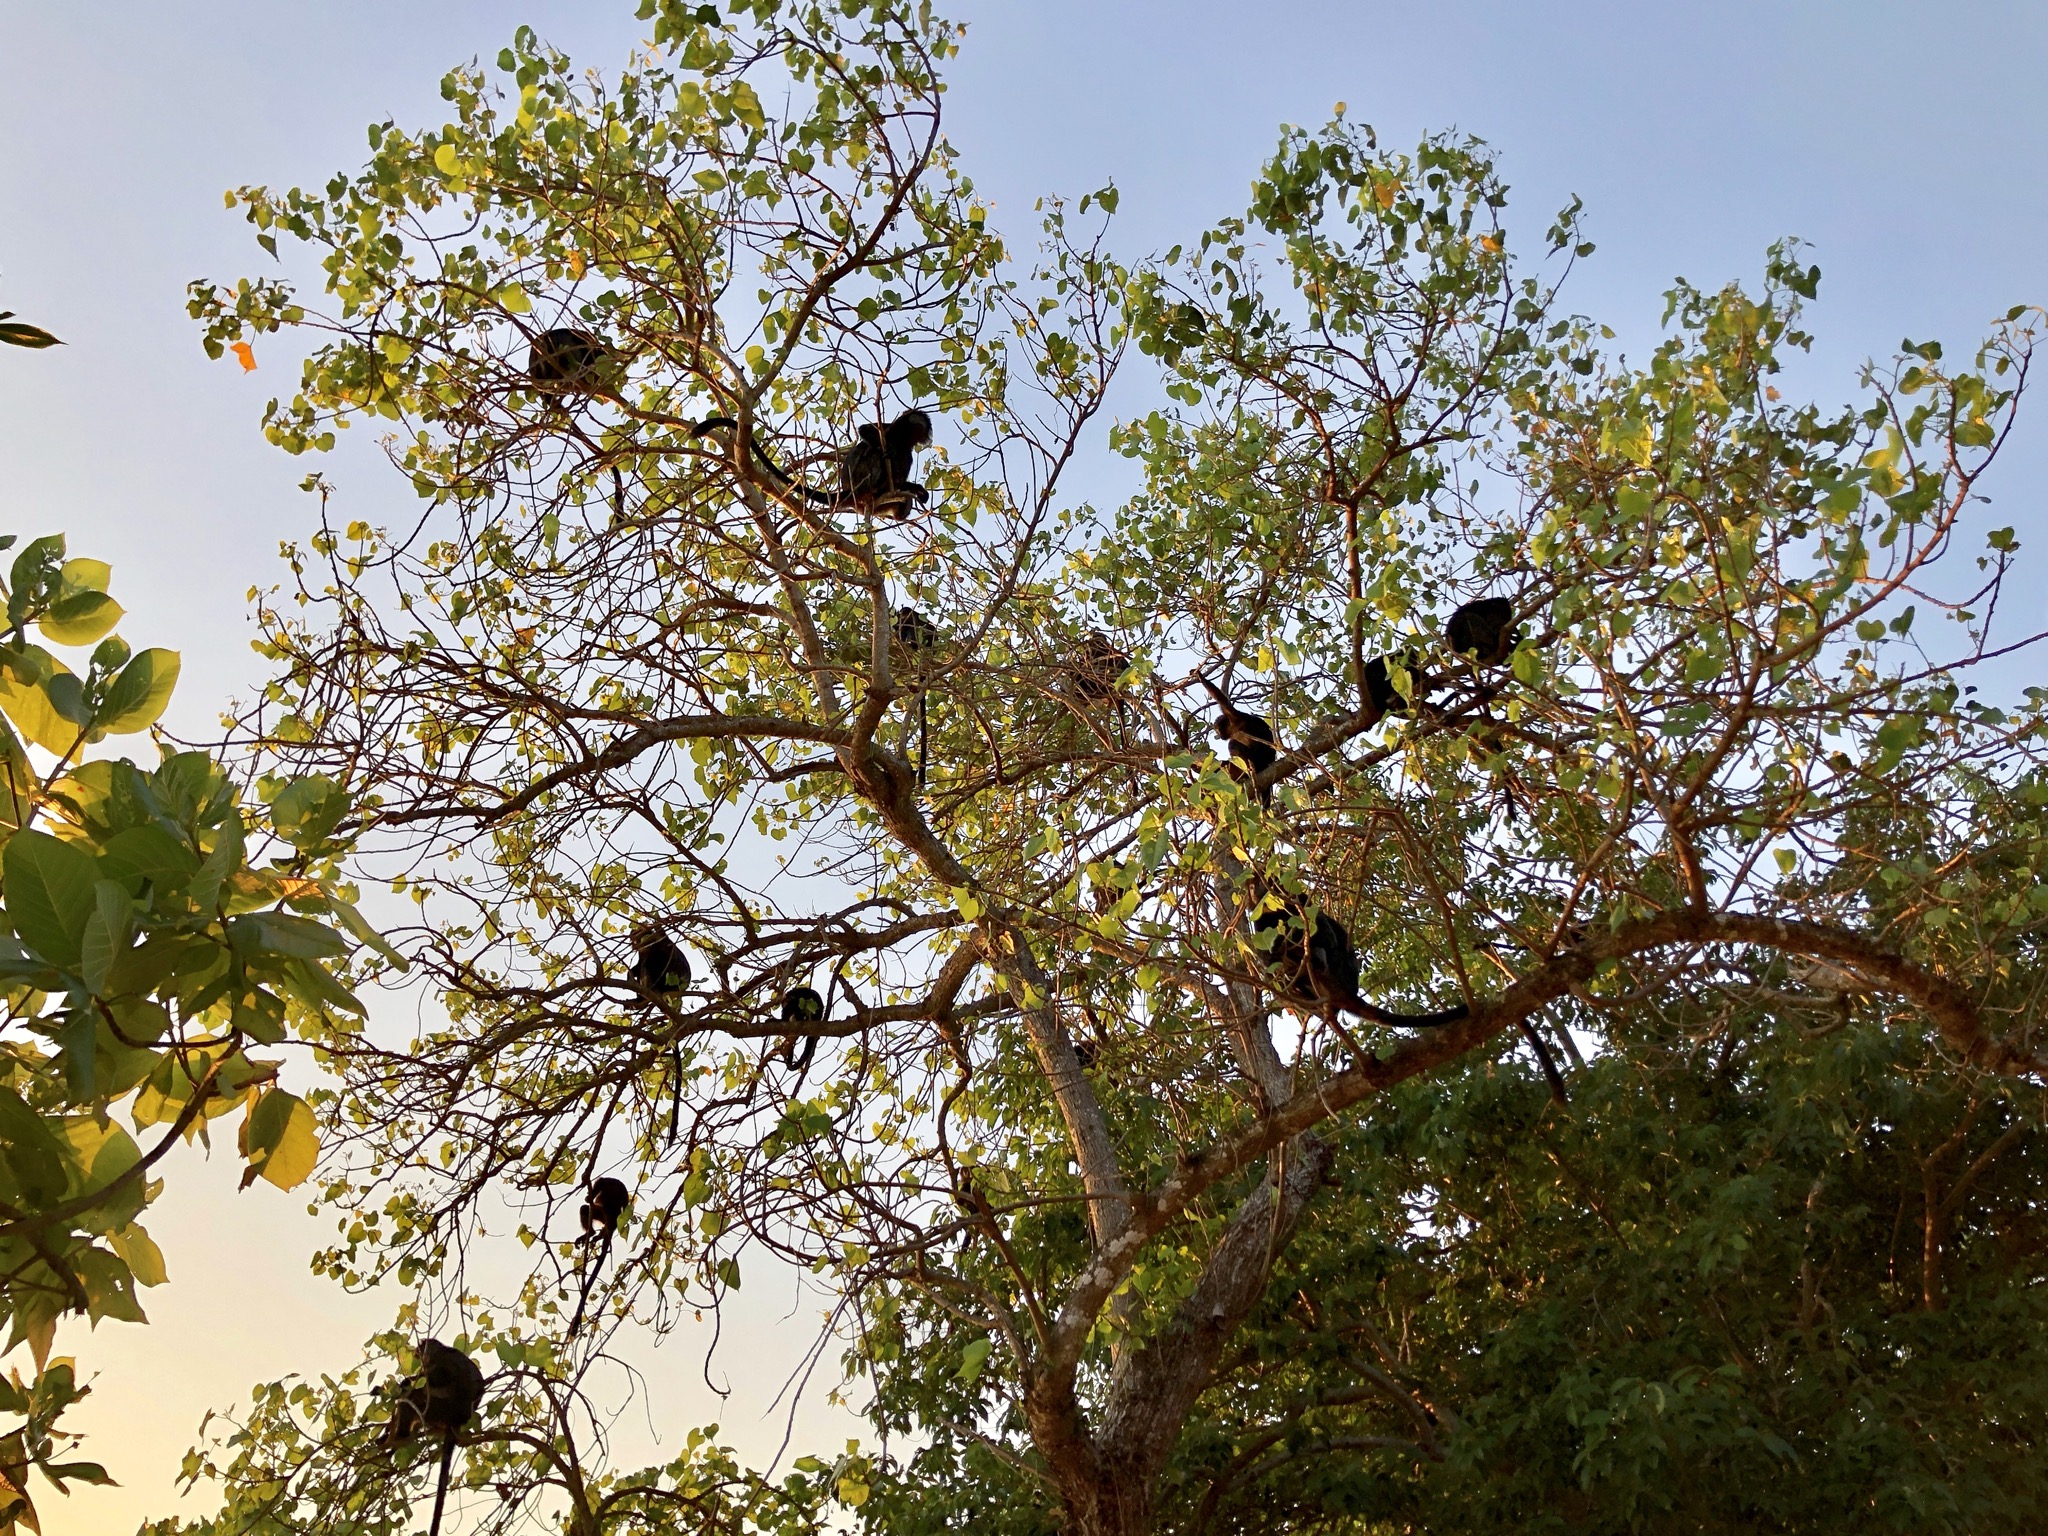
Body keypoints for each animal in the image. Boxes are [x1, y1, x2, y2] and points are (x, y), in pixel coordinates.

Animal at [387, 1339, 486, 1536]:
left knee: (414, 1401)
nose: (417, 1352)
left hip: (442, 1411)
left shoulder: (441, 1360)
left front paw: (407, 1381)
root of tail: (458, 1420)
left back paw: (400, 1435)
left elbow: (440, 1378)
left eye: (420, 1348)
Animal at [568, 1176, 630, 1338]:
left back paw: (592, 1233)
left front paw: (589, 1192)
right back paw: (595, 1235)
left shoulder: (607, 1182)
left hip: (603, 1212)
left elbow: (601, 1181)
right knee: (586, 1210)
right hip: (602, 1216)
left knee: (586, 1207)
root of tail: (613, 1220)